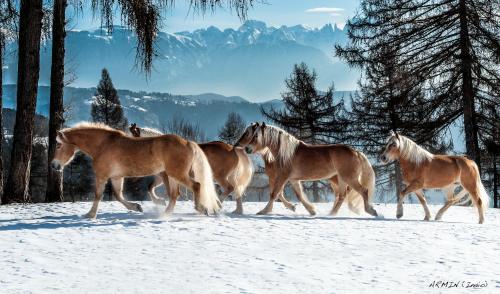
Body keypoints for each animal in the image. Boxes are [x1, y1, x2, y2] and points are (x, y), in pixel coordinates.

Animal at [50, 122, 221, 218]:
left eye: (58, 145)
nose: (54, 165)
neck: (103, 145)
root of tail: (187, 142)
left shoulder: (102, 176)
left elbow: (98, 195)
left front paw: (90, 215)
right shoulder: (116, 177)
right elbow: (118, 196)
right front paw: (137, 207)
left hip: (176, 174)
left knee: (196, 186)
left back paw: (201, 208)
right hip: (172, 176)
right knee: (175, 194)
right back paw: (165, 213)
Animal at [128, 123, 258, 215]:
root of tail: (232, 149)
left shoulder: (167, 176)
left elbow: (170, 192)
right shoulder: (164, 176)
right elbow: (151, 187)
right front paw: (160, 201)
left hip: (220, 176)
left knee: (230, 188)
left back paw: (217, 204)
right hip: (230, 177)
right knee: (237, 191)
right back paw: (237, 211)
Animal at [234, 121, 376, 216]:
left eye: (255, 136)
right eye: (251, 135)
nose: (247, 149)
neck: (285, 153)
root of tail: (356, 152)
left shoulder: (283, 176)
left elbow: (274, 193)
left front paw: (264, 211)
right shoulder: (293, 179)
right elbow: (299, 195)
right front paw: (311, 210)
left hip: (348, 178)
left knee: (363, 191)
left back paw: (371, 211)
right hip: (341, 179)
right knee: (342, 195)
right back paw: (332, 213)